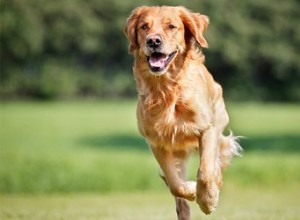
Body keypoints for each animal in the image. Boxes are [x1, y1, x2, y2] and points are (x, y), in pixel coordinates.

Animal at [123, 6, 241, 219]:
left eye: (171, 26)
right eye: (144, 26)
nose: (153, 41)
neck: (166, 89)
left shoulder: (208, 129)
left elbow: (205, 172)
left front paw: (208, 200)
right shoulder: (156, 142)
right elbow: (174, 183)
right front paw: (192, 190)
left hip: (219, 121)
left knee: (216, 166)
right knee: (177, 191)